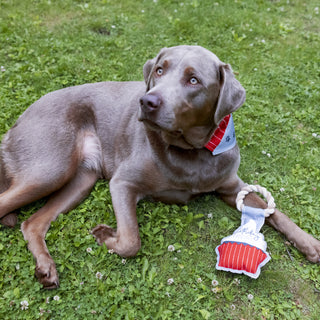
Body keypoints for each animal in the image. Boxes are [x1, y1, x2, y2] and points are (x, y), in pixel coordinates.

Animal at [0, 46, 318, 288]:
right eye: (159, 71)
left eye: (194, 80)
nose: (147, 101)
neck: (191, 153)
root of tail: (18, 120)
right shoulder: (122, 182)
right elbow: (131, 241)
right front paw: (104, 235)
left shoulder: (231, 186)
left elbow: (275, 211)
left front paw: (309, 243)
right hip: (50, 169)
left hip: (81, 179)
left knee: (32, 223)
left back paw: (45, 268)